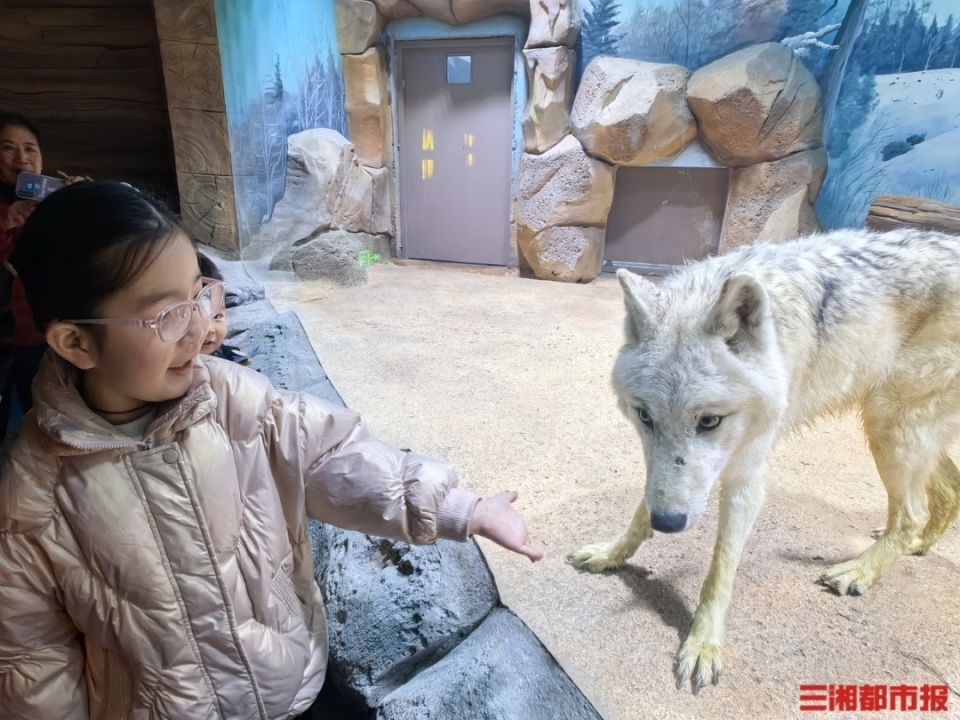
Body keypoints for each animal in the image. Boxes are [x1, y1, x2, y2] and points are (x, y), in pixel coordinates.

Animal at [568, 228, 960, 696]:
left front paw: (704, 645)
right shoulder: (664, 473)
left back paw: (861, 571)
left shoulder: (746, 475)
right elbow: (642, 509)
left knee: (912, 513)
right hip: (899, 430)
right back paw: (917, 547)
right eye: (645, 416)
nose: (669, 524)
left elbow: (720, 570)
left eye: (710, 421)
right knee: (945, 492)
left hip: (890, 427)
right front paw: (613, 554)